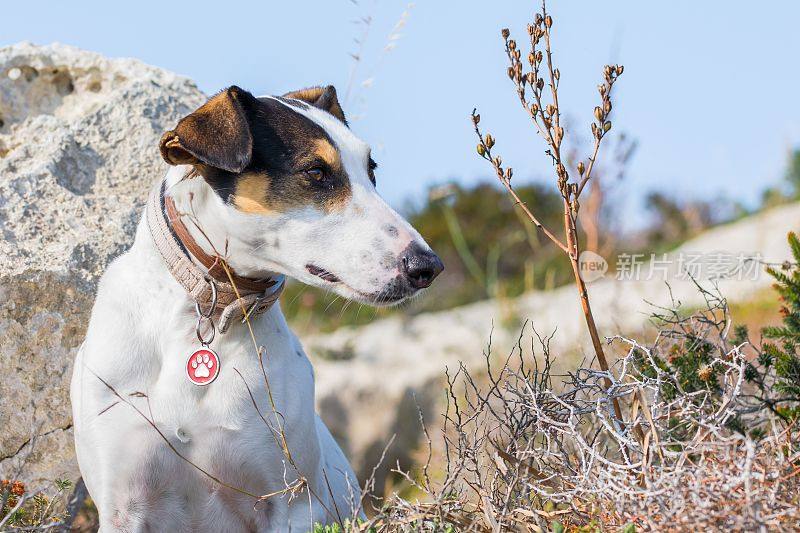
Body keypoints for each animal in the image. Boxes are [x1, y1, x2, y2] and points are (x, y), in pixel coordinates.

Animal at [69, 85, 444, 528]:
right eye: (315, 172)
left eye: (372, 173)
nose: (428, 266)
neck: (210, 312)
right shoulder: (124, 506)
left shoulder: (290, 504)